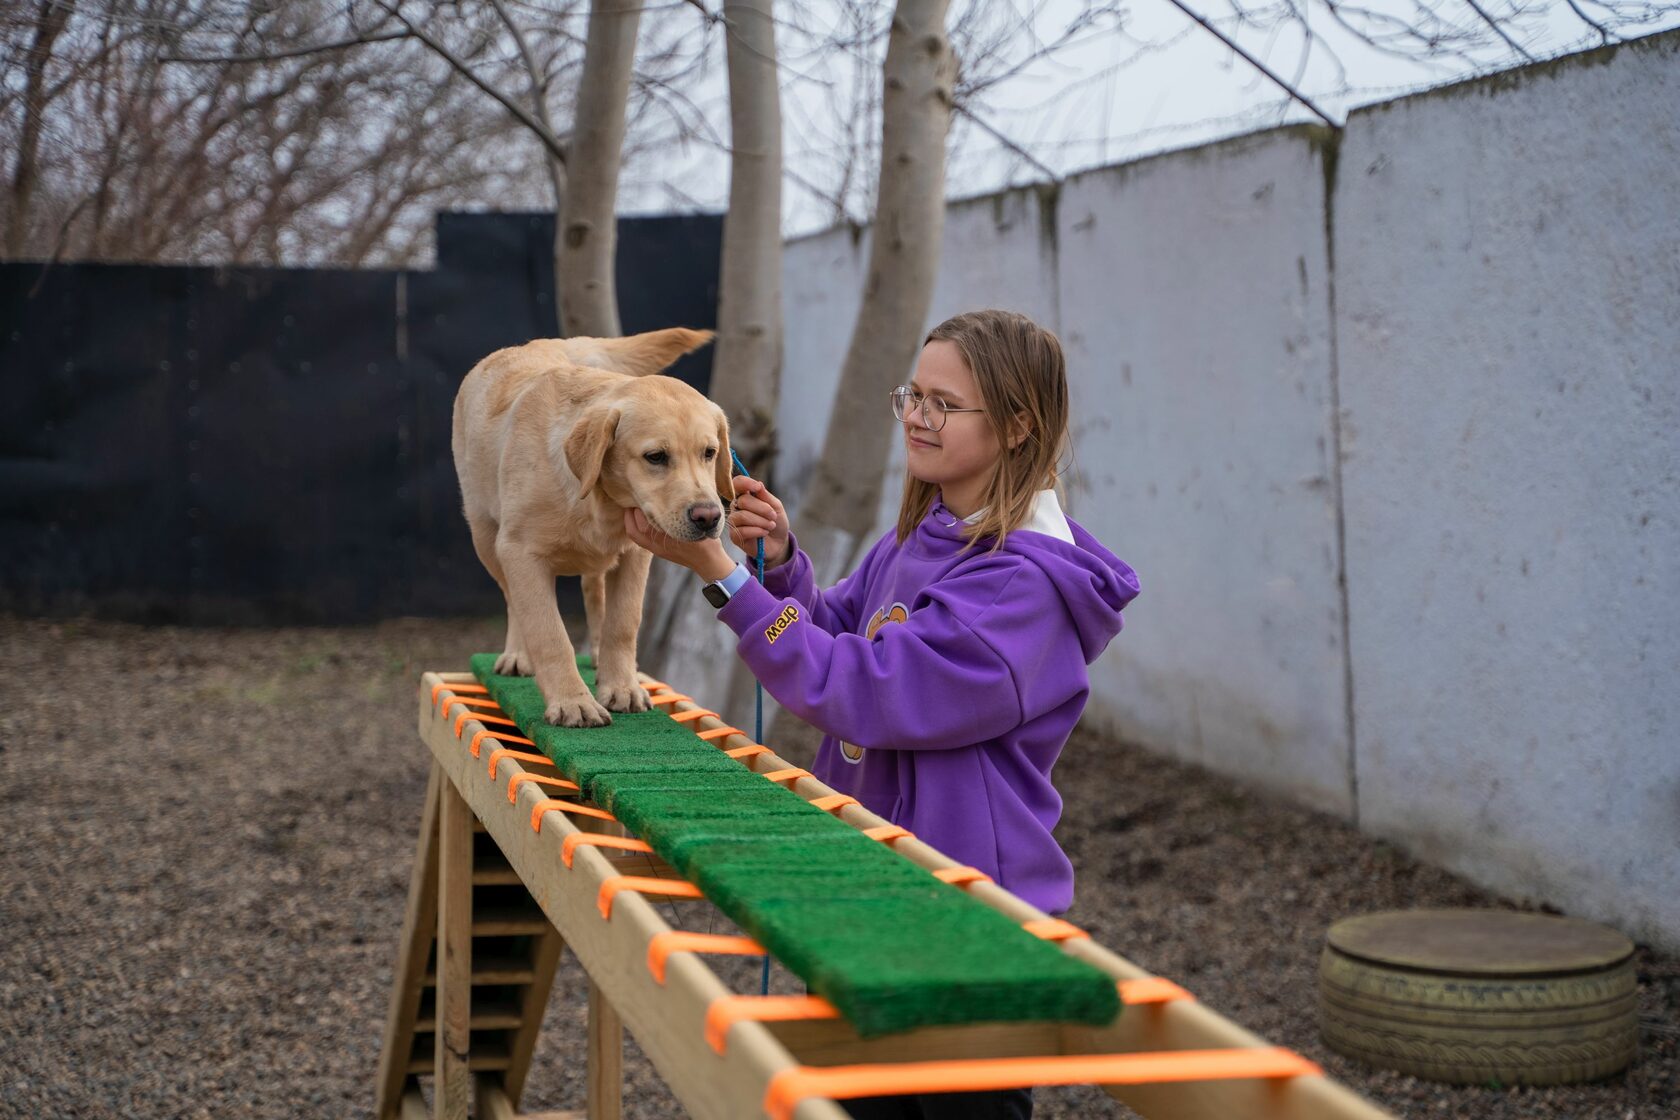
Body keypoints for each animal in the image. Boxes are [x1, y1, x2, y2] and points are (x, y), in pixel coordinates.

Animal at [453, 325, 729, 728]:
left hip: (597, 562)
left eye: (709, 453)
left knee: (596, 597)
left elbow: (623, 622)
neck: (601, 502)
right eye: (655, 457)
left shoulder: (635, 554)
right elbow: (548, 632)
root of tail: (546, 345)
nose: (708, 517)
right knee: (513, 601)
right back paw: (519, 655)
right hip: (485, 537)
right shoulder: (520, 553)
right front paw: (572, 702)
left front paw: (622, 687)